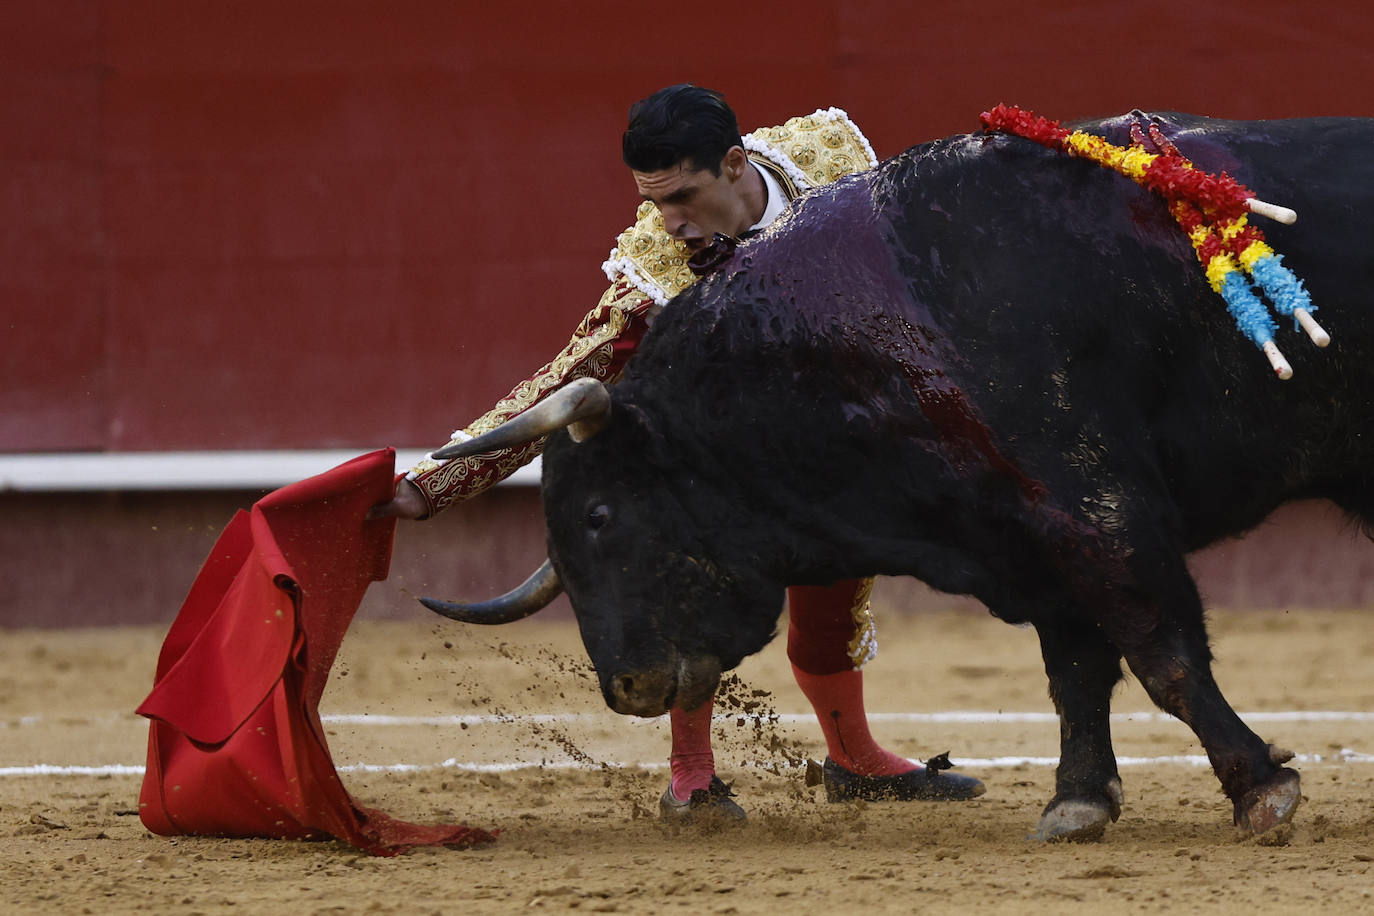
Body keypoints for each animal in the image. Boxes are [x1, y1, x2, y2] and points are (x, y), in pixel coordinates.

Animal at [423, 111, 1374, 840]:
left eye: (599, 515)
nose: (624, 687)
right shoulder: (1032, 539)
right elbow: (1075, 671)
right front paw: (1077, 803)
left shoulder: (1096, 513)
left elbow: (1162, 656)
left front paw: (1261, 789)